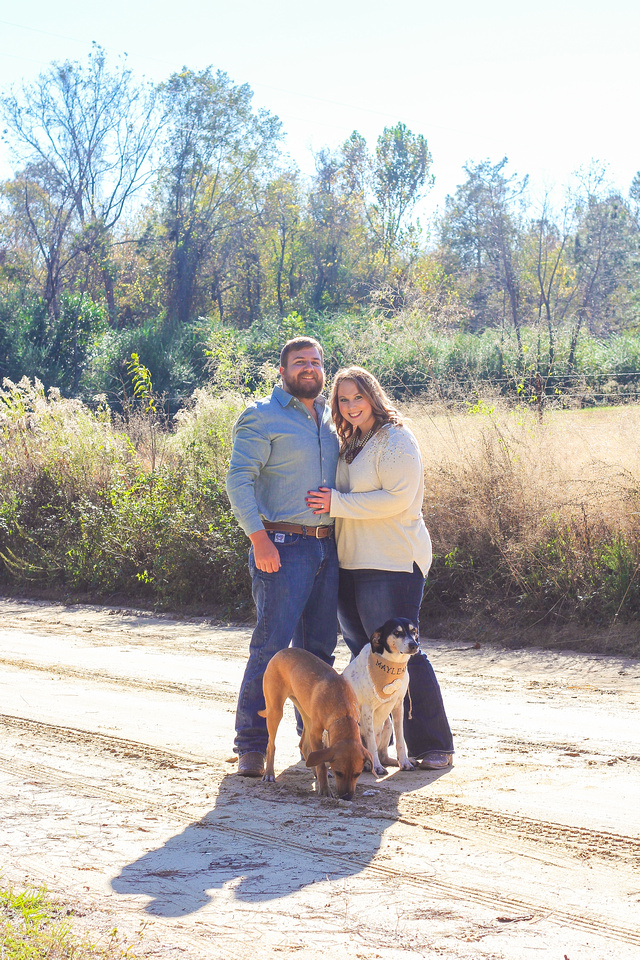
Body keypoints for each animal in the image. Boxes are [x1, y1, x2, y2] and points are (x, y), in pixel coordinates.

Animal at [258, 648, 372, 800]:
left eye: (357, 774)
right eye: (338, 773)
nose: (346, 797)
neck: (344, 713)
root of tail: (281, 651)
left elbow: (319, 759)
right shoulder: (316, 733)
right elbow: (322, 765)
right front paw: (324, 789)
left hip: (306, 715)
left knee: (303, 745)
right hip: (275, 711)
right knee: (271, 745)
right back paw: (269, 774)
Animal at [342, 624, 418, 772]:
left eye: (414, 631)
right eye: (397, 632)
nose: (414, 645)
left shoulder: (398, 706)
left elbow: (400, 740)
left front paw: (405, 762)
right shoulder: (367, 710)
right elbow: (371, 744)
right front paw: (376, 767)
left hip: (387, 725)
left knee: (383, 756)